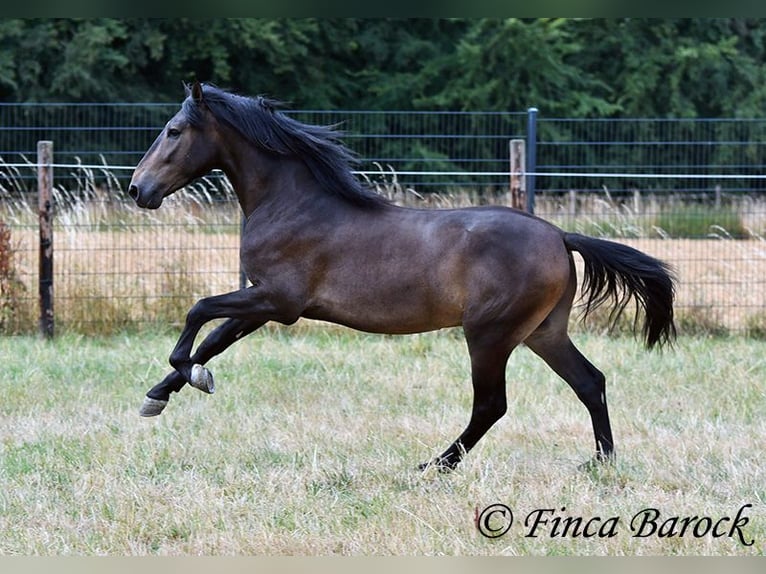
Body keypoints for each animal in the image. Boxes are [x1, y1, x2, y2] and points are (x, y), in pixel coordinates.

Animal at [128, 81, 676, 471]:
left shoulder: (277, 302)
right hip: (543, 332)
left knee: (491, 406)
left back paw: (434, 466)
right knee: (590, 382)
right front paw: (160, 395)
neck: (292, 204)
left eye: (173, 131)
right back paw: (600, 463)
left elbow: (198, 313)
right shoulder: (262, 304)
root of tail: (560, 236)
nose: (138, 189)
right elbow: (213, 340)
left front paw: (188, 377)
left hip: (490, 334)